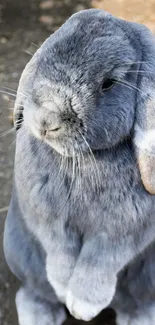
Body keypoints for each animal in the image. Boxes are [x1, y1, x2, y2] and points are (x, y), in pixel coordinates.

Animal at [3, 8, 155, 322]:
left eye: (108, 83)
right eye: (44, 55)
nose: (46, 120)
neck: (81, 159)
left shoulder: (122, 232)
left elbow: (100, 260)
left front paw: (83, 306)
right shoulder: (47, 219)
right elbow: (59, 251)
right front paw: (64, 290)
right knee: (34, 292)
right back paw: (41, 315)